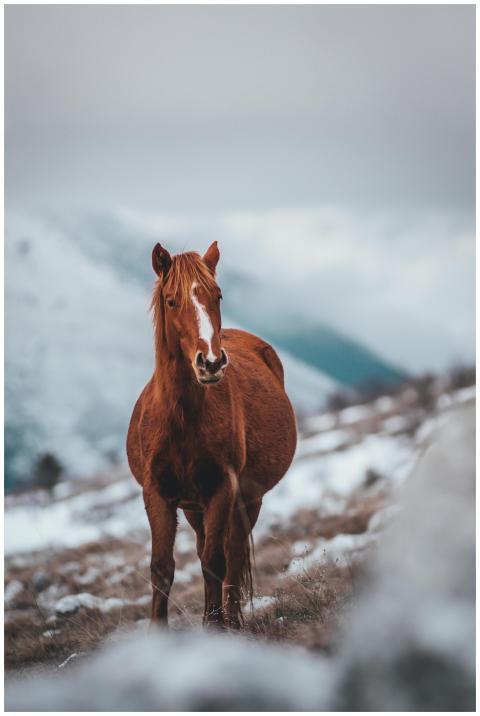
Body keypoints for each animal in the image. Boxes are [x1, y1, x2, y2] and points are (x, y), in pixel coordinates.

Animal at [126, 241, 297, 628]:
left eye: (217, 295)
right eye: (172, 300)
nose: (211, 362)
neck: (182, 419)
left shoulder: (223, 489)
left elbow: (215, 562)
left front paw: (216, 626)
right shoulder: (157, 493)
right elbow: (162, 568)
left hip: (248, 498)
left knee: (231, 554)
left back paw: (231, 619)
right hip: (194, 507)